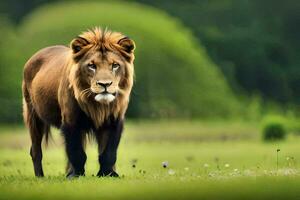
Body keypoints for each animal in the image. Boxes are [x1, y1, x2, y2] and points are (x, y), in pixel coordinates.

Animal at [22, 27, 135, 178]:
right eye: (92, 66)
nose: (104, 84)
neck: (97, 106)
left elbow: (108, 153)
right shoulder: (71, 121)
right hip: (33, 115)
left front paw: (108, 174)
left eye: (115, 65)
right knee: (35, 151)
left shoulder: (114, 120)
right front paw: (76, 175)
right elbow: (77, 153)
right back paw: (40, 176)